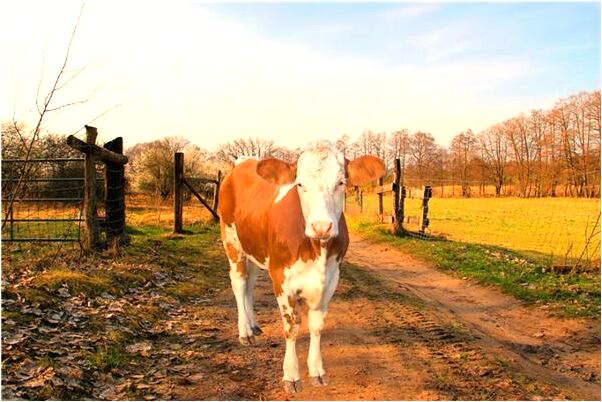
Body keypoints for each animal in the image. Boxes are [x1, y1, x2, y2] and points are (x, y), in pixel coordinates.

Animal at [218, 141, 382, 392]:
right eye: (300, 184)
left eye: (341, 183)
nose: (321, 226)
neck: (317, 250)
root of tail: (243, 162)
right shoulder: (281, 279)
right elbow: (291, 327)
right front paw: (291, 375)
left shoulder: (330, 279)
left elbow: (316, 326)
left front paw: (317, 371)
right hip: (231, 240)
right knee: (239, 282)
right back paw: (245, 332)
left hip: (255, 248)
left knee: (250, 283)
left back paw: (253, 325)